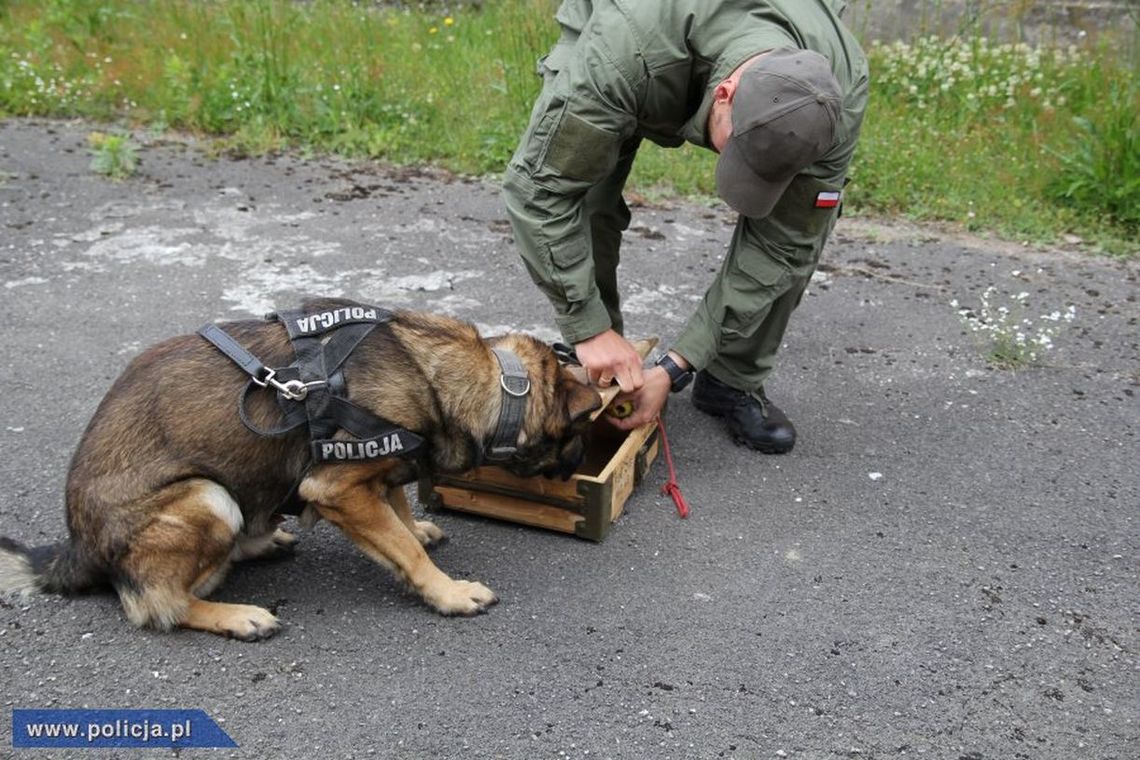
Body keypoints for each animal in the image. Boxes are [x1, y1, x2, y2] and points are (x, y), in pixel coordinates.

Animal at [0, 300, 601, 638]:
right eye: (577, 436)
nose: (576, 464)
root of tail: (77, 549)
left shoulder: (374, 477)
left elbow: (400, 515)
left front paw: (418, 531)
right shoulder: (337, 487)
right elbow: (403, 548)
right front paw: (447, 592)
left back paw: (261, 542)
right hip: (206, 498)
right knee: (156, 606)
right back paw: (235, 615)